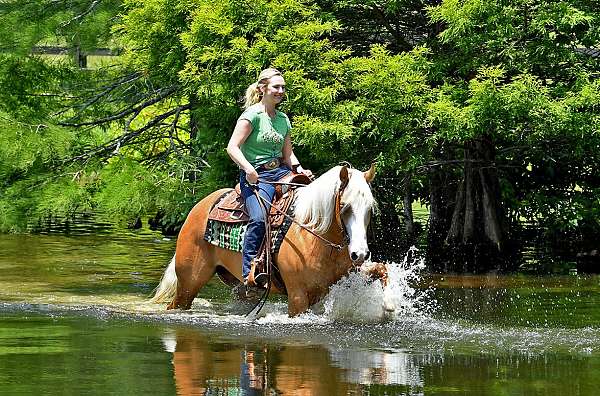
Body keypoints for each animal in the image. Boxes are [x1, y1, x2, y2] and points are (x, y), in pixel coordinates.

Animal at [152, 164, 382, 316]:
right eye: (345, 206)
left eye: (370, 209)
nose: (360, 254)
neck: (314, 236)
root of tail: (198, 207)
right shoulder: (298, 296)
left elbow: (379, 270)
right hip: (188, 283)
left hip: (241, 289)